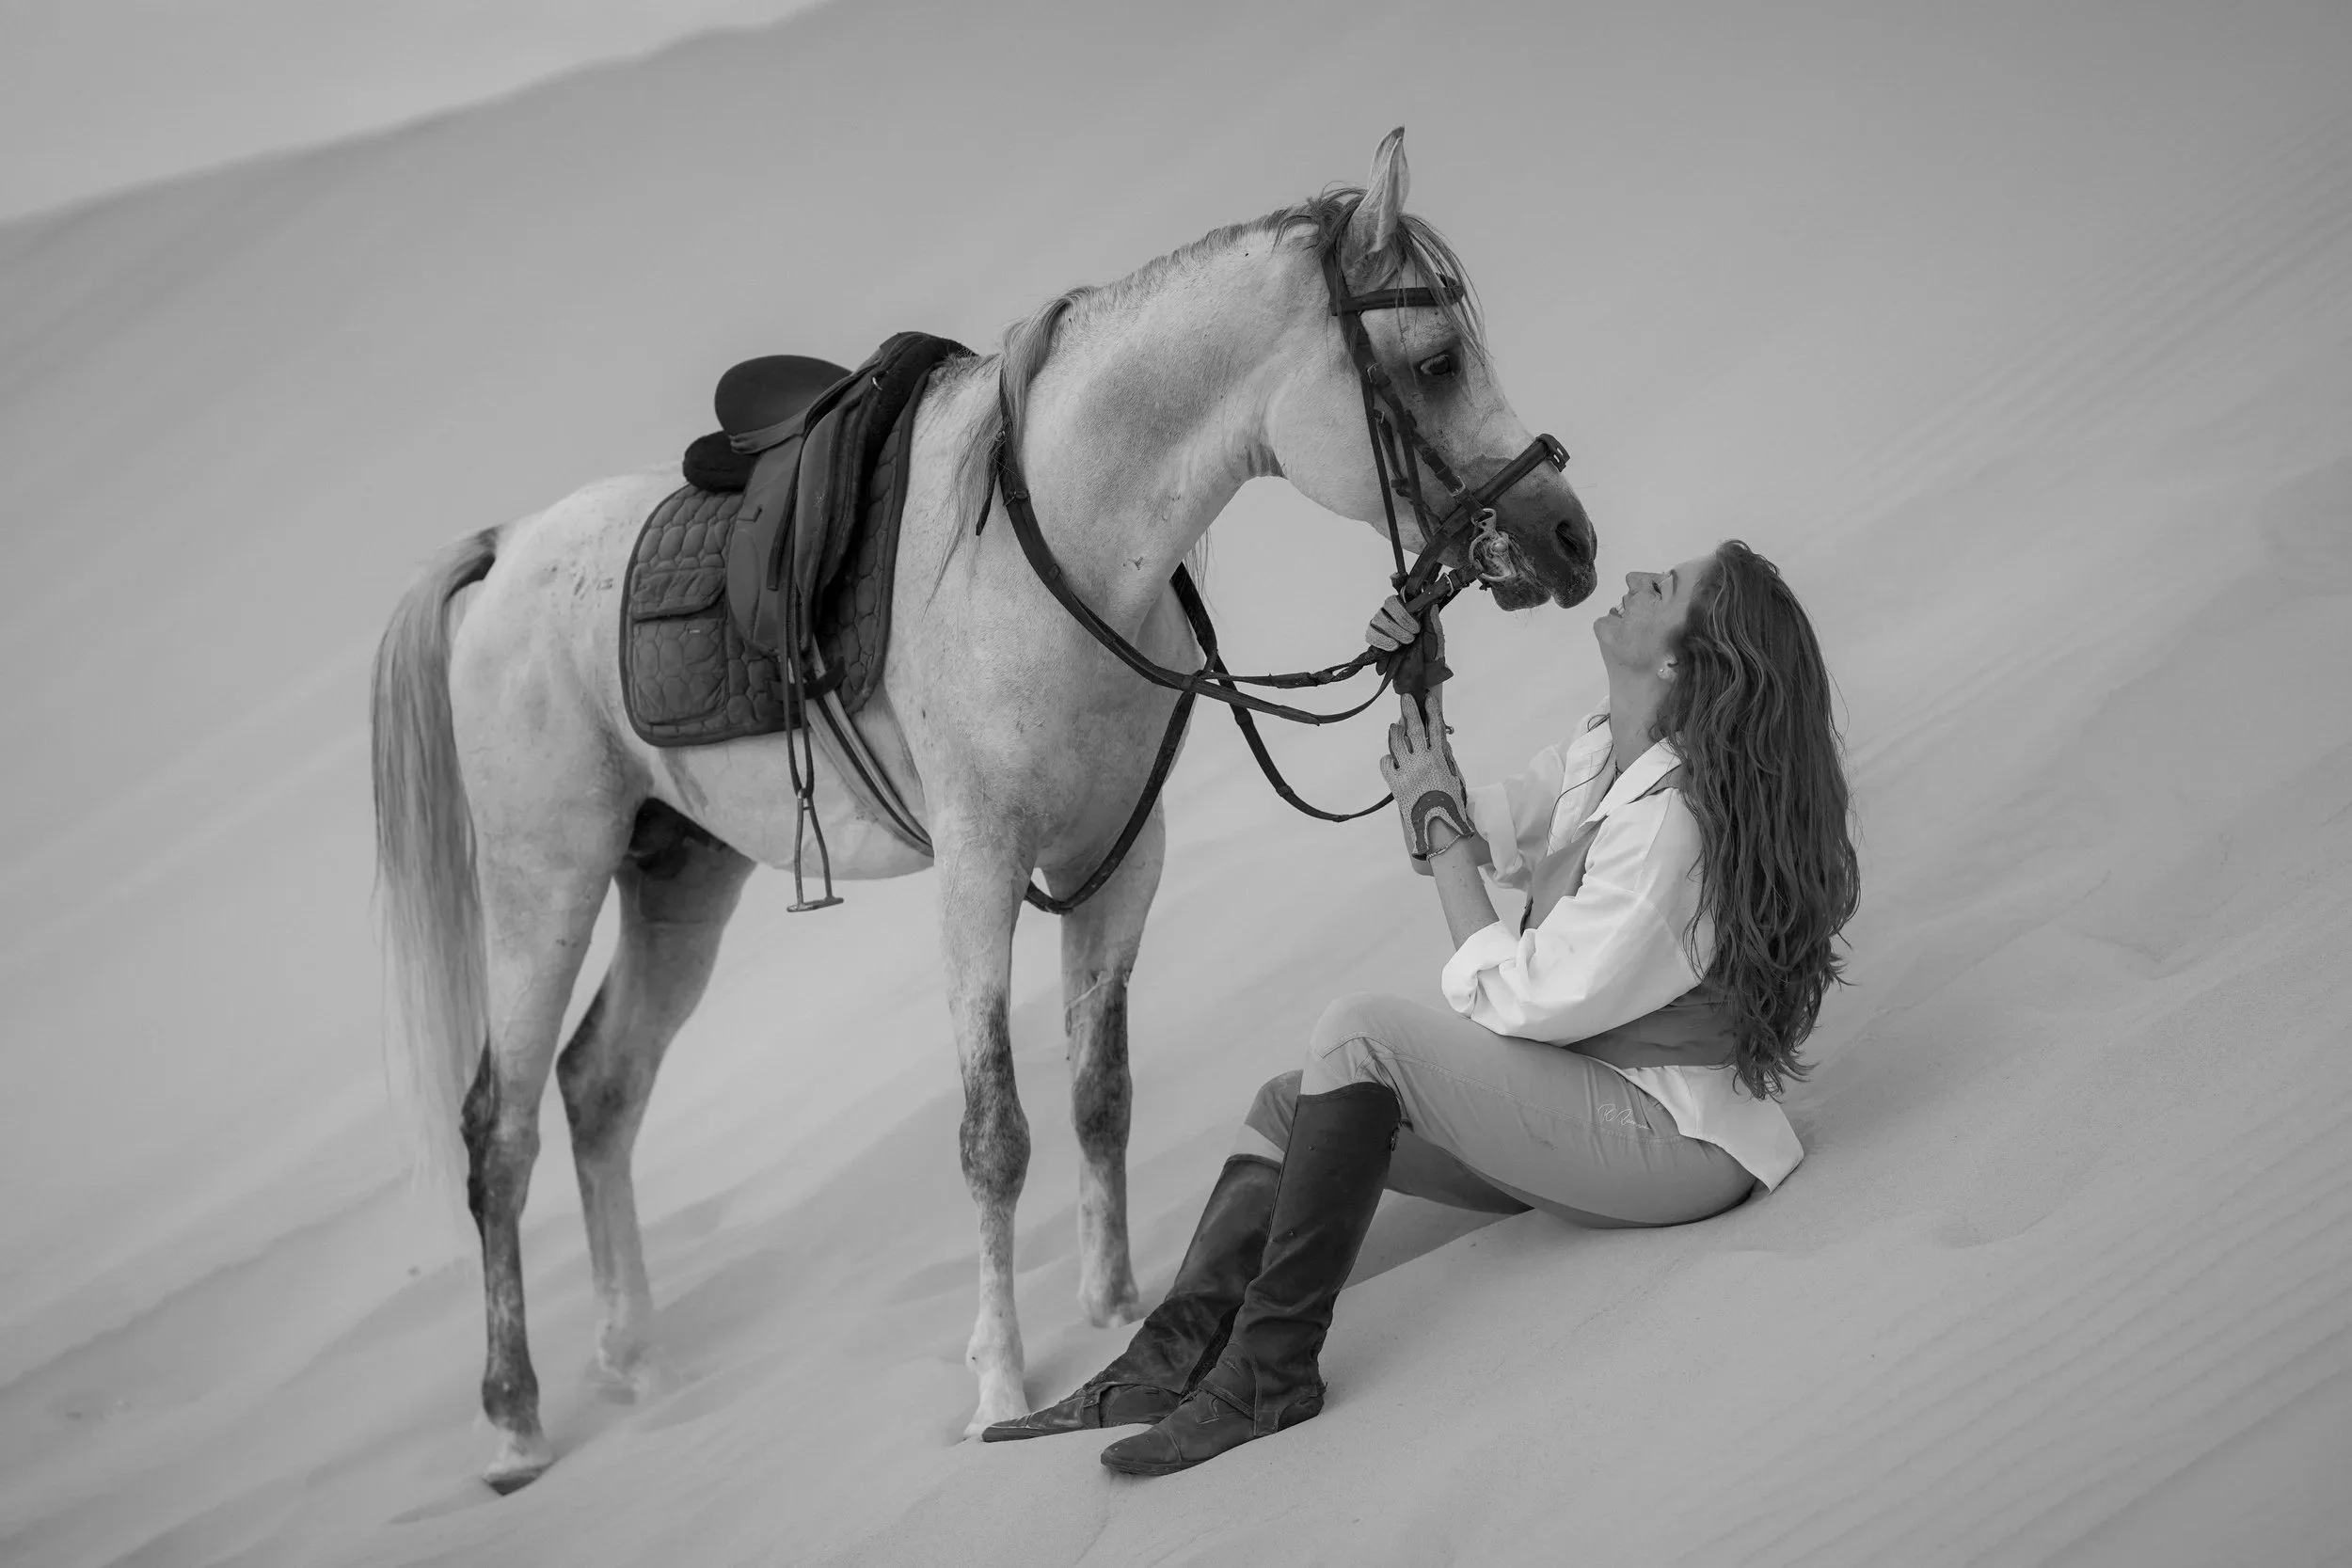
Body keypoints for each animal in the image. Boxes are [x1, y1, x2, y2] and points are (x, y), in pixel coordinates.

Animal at [370, 127, 1596, 1493]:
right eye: (1434, 362)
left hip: (678, 880)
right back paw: (514, 1419)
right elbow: (993, 1134)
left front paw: (1114, 1305)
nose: (1569, 535)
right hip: (547, 878)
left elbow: (1100, 1093)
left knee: (601, 1087)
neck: (1053, 548)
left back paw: (637, 1363)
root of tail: (503, 554)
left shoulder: (1121, 856)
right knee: (501, 1126)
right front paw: (1000, 1382)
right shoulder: (979, 870)